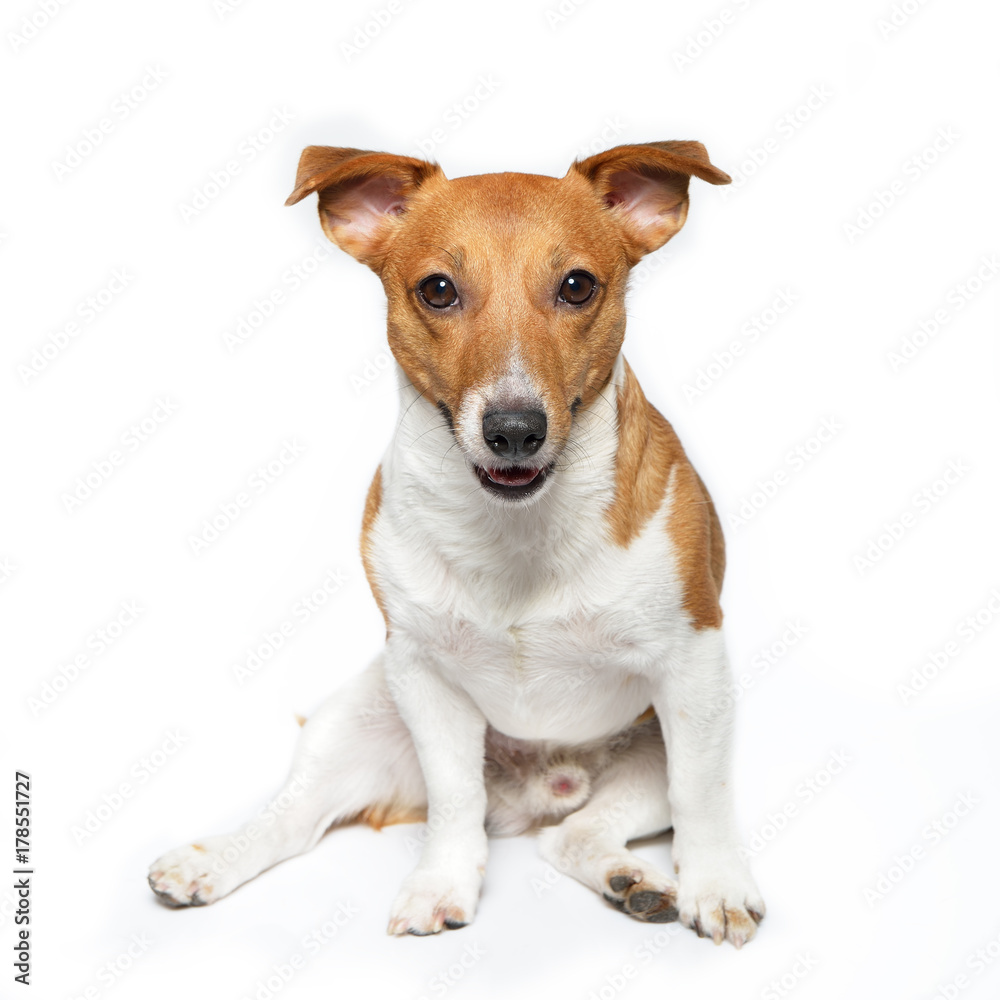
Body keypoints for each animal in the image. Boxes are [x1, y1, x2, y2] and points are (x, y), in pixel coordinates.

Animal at [150, 139, 764, 944]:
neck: (517, 531)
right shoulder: (422, 674)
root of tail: (535, 789)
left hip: (650, 752)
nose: (514, 429)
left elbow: (704, 793)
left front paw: (716, 887)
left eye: (577, 286)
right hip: (355, 715)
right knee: (296, 818)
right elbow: (452, 799)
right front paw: (441, 884)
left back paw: (634, 881)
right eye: (437, 289)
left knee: (577, 835)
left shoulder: (696, 670)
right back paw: (210, 860)